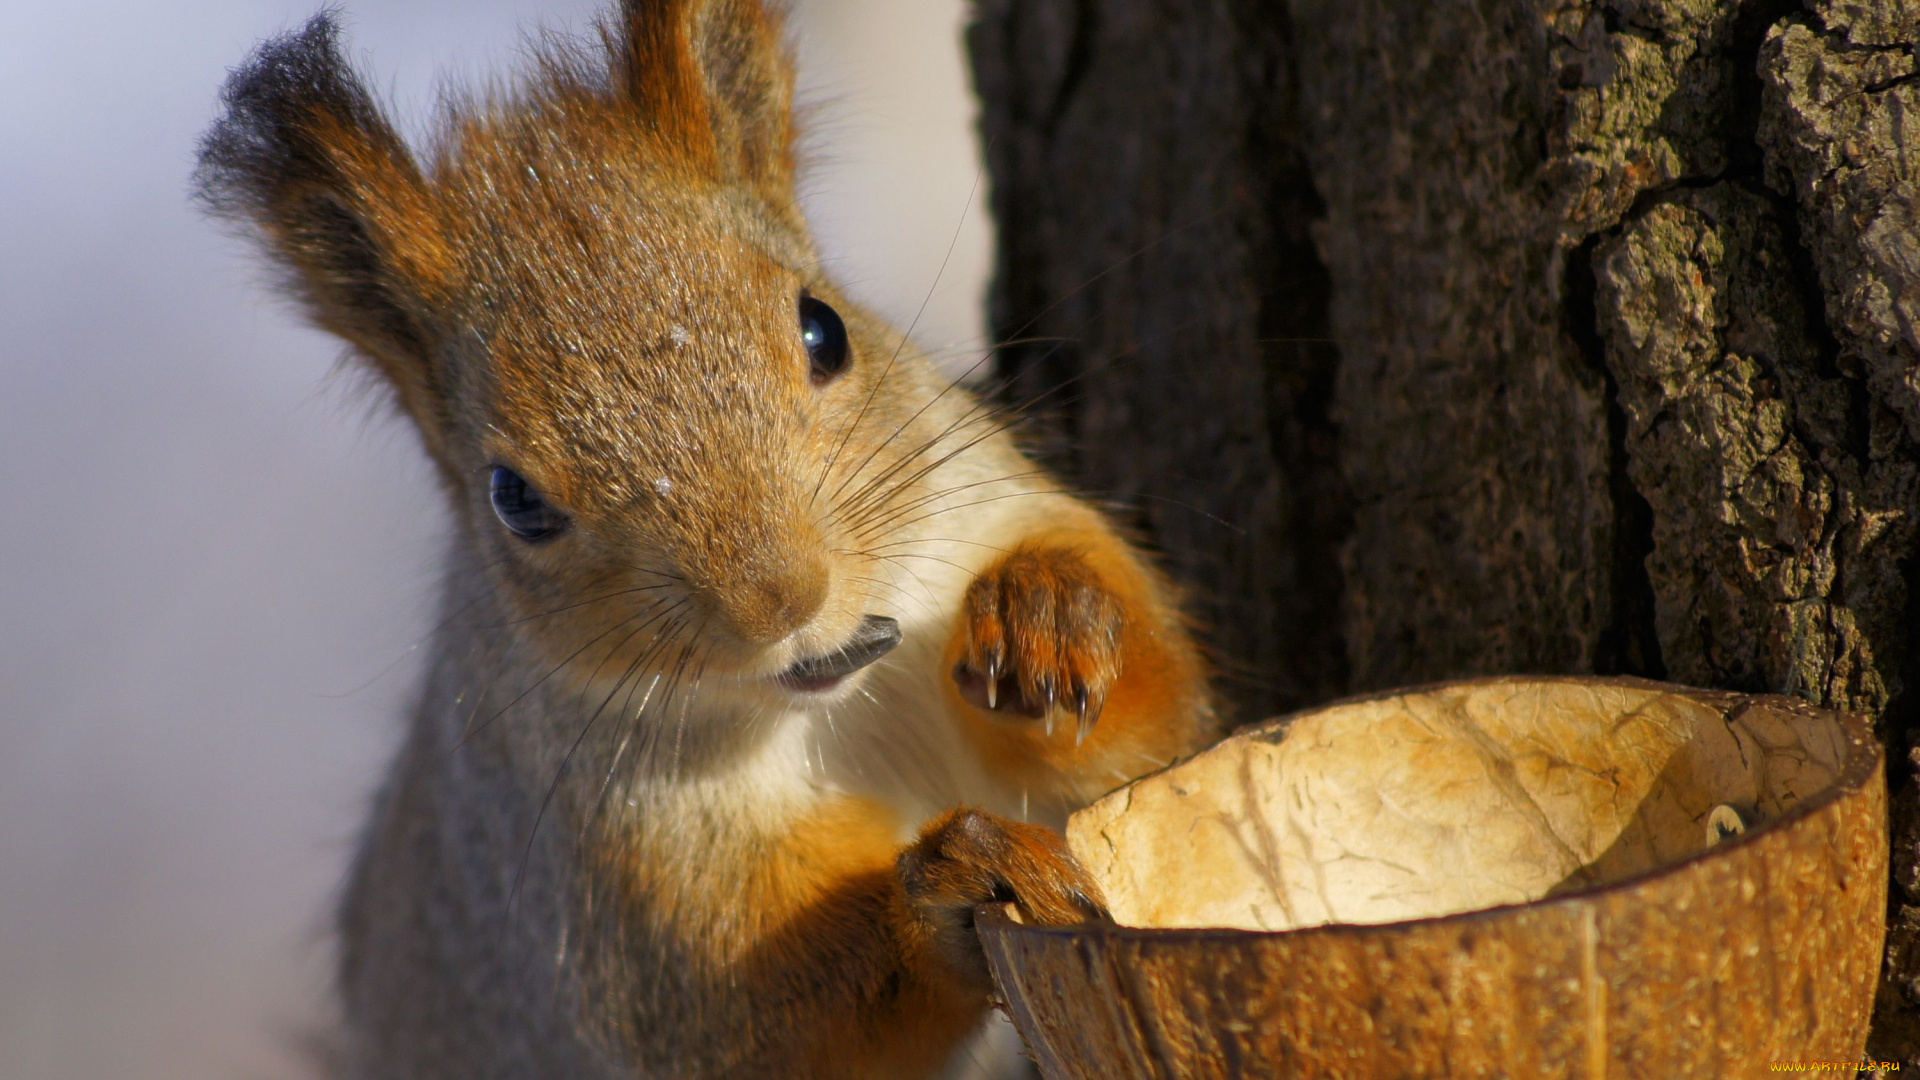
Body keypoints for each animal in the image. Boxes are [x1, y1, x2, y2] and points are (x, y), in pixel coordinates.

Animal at [194, 4, 1213, 1068]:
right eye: (512, 498)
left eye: (823, 328)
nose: (781, 600)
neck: (844, 704)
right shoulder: (615, 876)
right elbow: (750, 1020)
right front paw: (948, 887)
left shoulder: (986, 512)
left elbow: (1156, 737)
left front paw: (1049, 612)